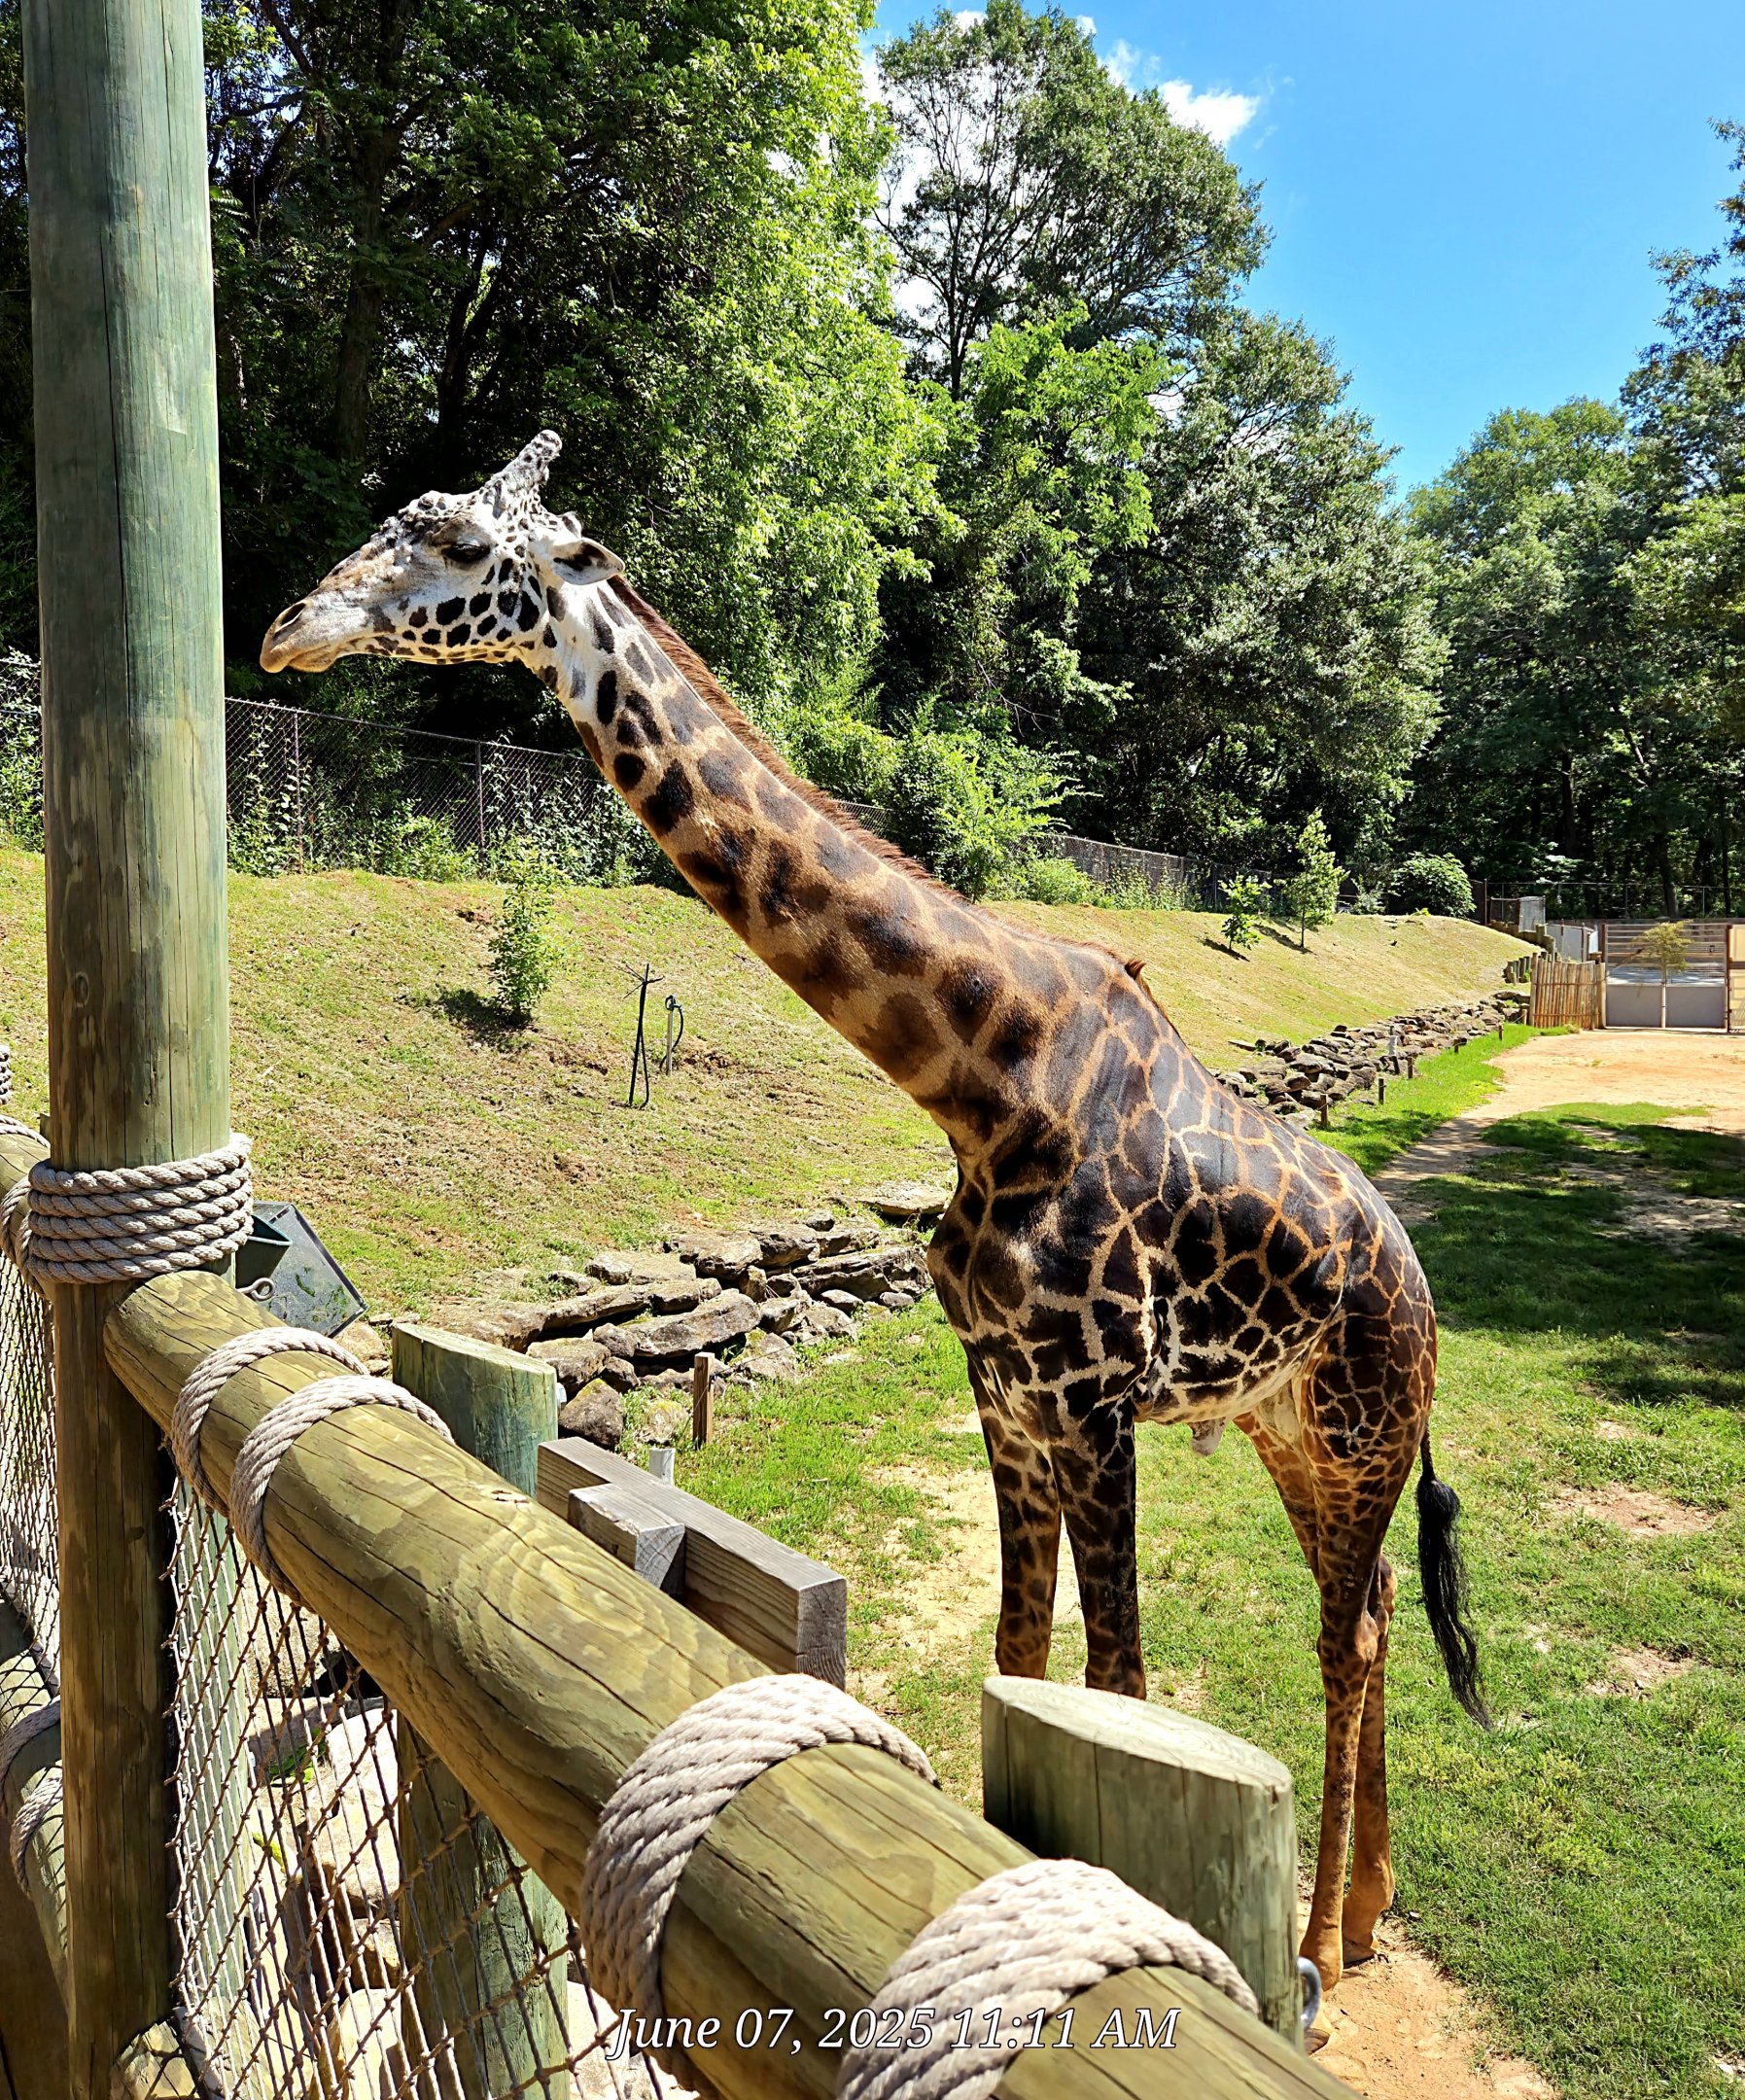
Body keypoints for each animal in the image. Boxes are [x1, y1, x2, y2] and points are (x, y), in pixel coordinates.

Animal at [262, 431, 1488, 2002]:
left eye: (463, 541)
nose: (289, 628)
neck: (980, 1080)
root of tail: (1420, 1288)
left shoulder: (1093, 1404)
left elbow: (1118, 1675)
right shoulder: (1005, 1392)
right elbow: (1016, 1654)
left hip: (1360, 1431)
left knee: (1349, 1632)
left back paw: (1324, 1953)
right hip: (1287, 1429)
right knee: (1382, 1609)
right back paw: (1360, 1913)